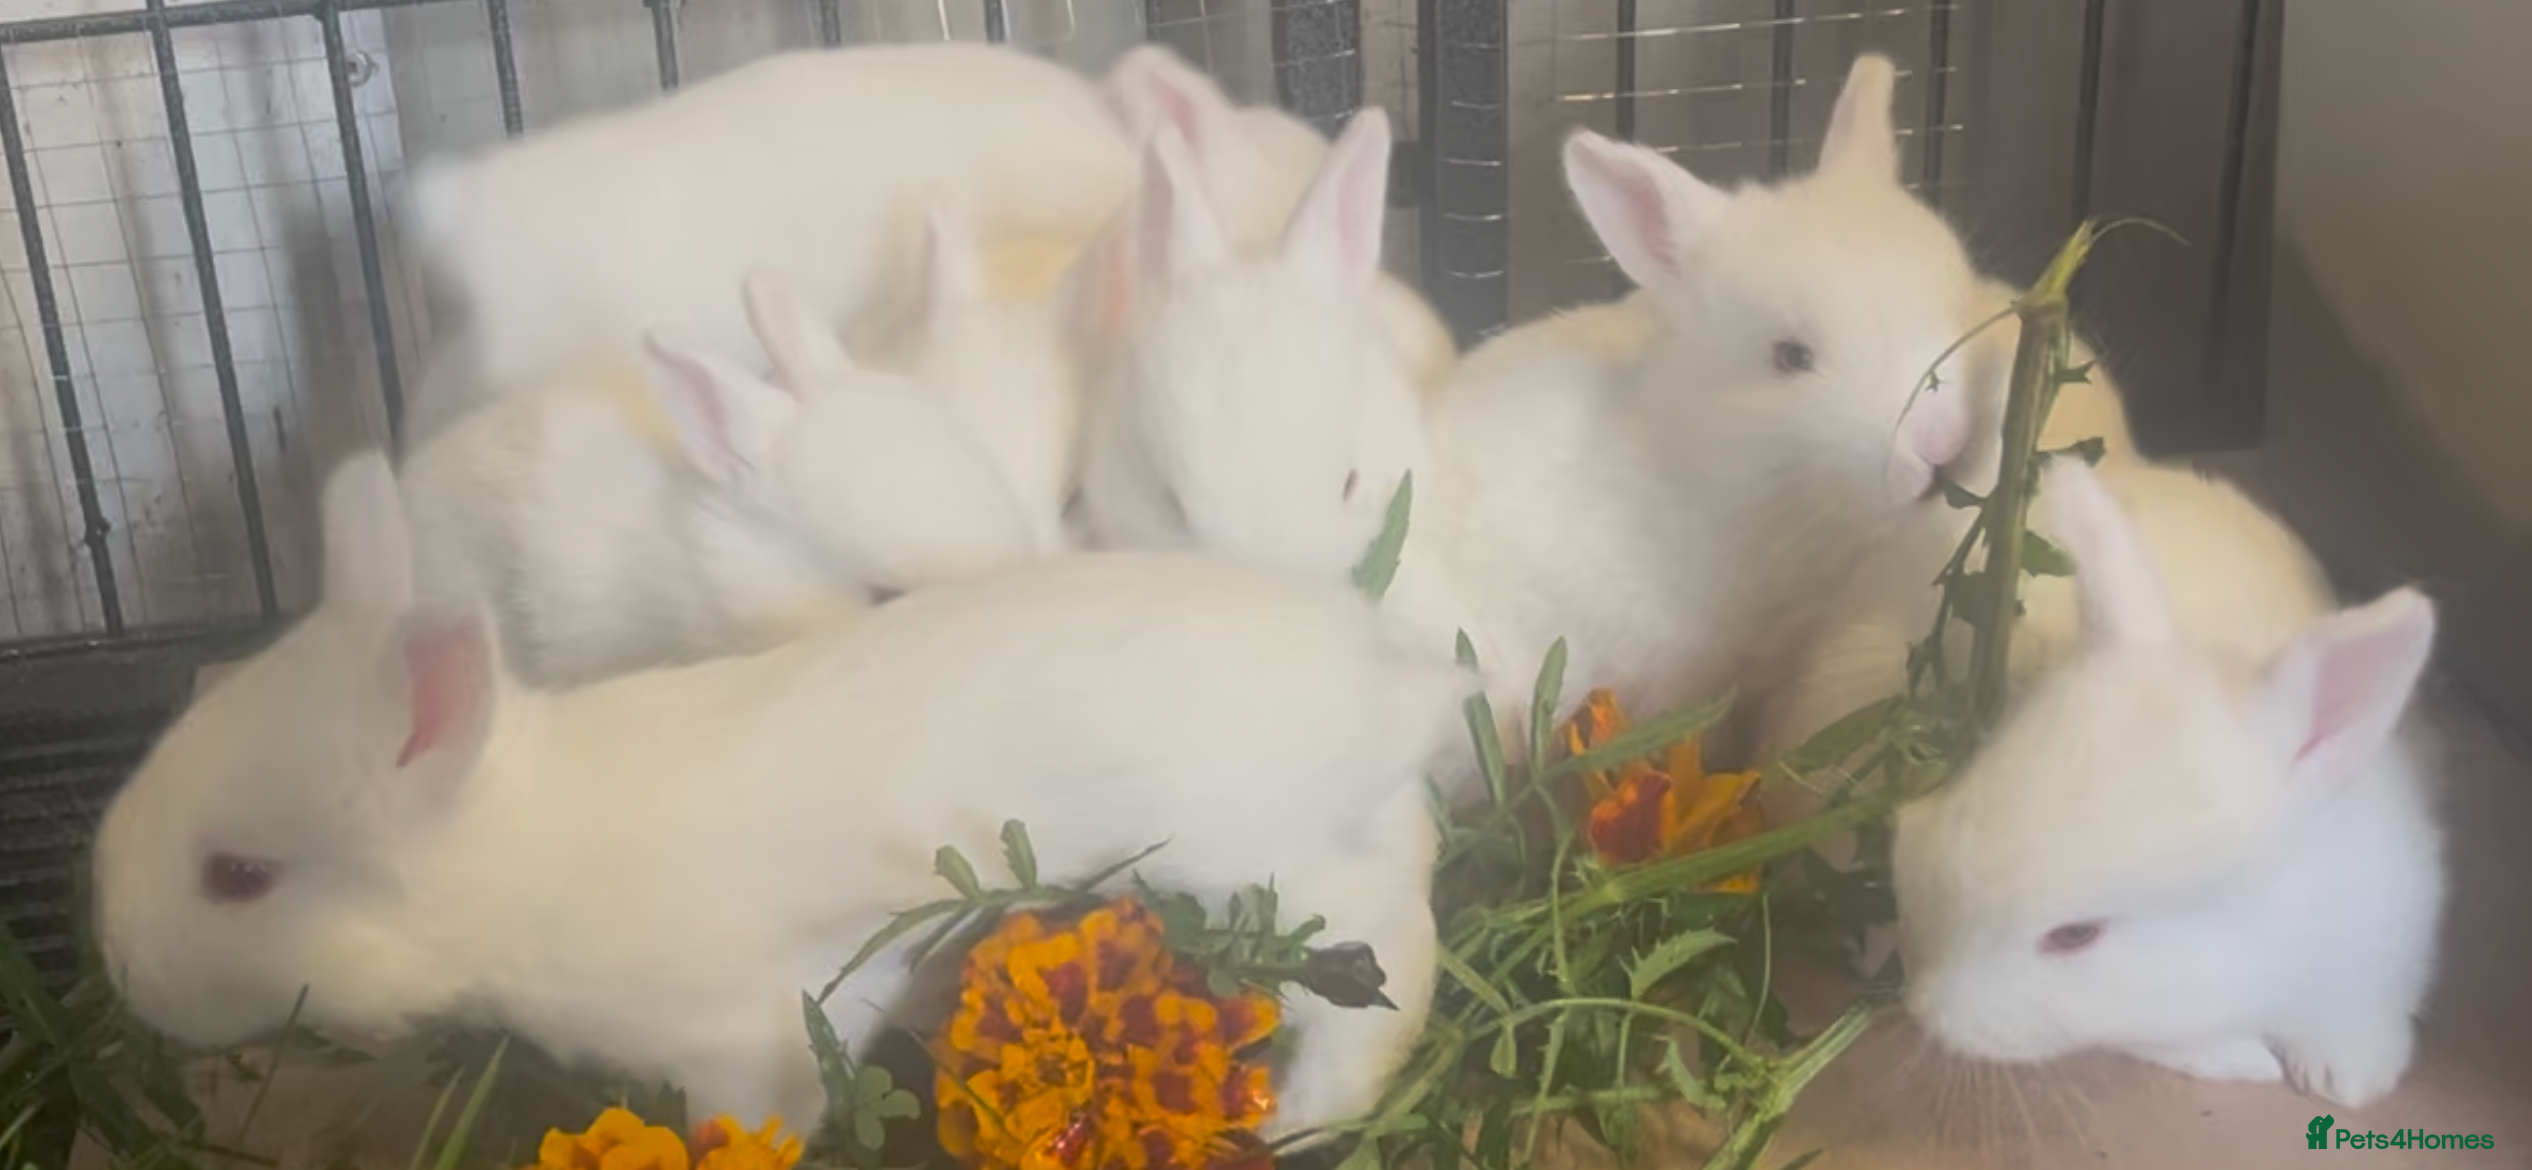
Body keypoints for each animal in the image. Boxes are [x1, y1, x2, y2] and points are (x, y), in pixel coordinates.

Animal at [93, 449, 1471, 1143]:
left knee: (1390, 966)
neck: (526, 857)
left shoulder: (746, 1037)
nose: (122, 975)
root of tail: (1388, 682)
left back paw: (1304, 1118)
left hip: (1269, 872)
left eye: (237, 878)